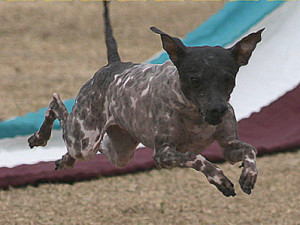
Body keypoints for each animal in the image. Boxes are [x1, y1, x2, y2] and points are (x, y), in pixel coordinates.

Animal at [27, 0, 262, 196]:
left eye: (228, 78)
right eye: (195, 79)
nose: (217, 110)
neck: (194, 115)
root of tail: (113, 64)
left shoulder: (229, 147)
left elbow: (250, 149)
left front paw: (249, 173)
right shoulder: (163, 153)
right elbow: (196, 158)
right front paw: (218, 177)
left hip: (120, 152)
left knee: (91, 148)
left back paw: (65, 160)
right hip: (85, 140)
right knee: (55, 104)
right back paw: (40, 136)